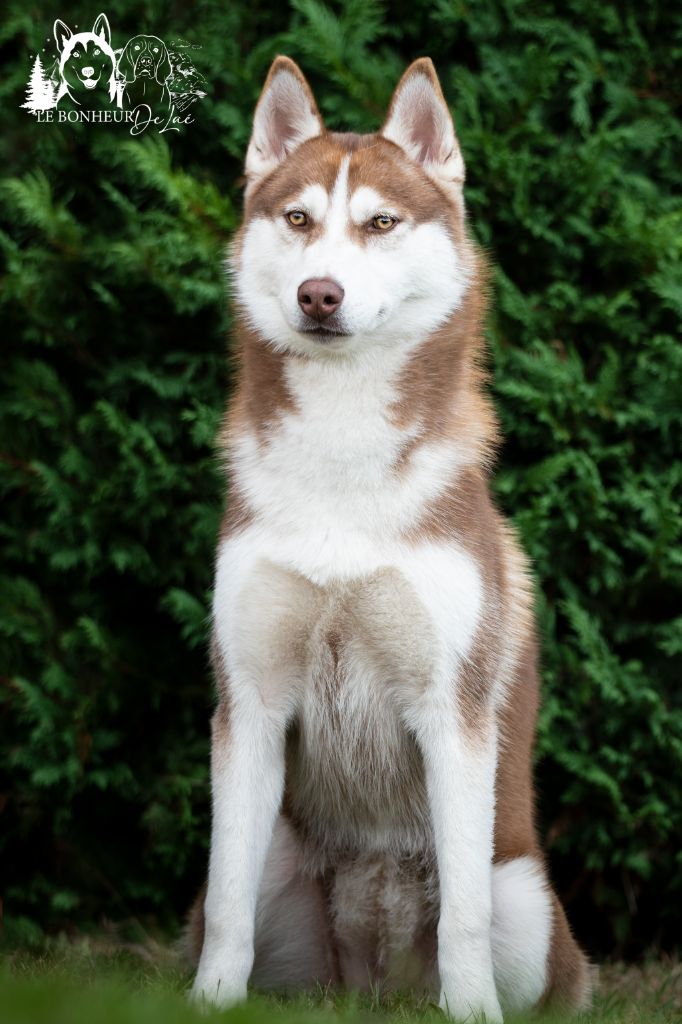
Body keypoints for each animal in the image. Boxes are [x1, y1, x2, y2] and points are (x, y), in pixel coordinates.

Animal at [186, 58, 589, 1024]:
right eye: (299, 220)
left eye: (380, 223)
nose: (319, 294)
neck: (342, 460)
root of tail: (368, 982)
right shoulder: (248, 702)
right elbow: (227, 899)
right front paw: (209, 1001)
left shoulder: (454, 712)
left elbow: (464, 920)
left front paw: (472, 1011)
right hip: (283, 863)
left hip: (524, 891)